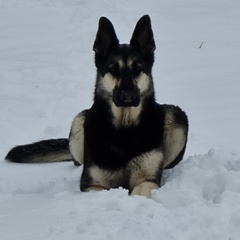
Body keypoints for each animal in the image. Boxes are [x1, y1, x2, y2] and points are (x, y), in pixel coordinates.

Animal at [5, 15, 188, 198]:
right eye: (113, 69)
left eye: (137, 69)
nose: (128, 97)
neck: (123, 132)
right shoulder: (92, 184)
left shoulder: (147, 180)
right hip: (79, 121)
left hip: (176, 116)